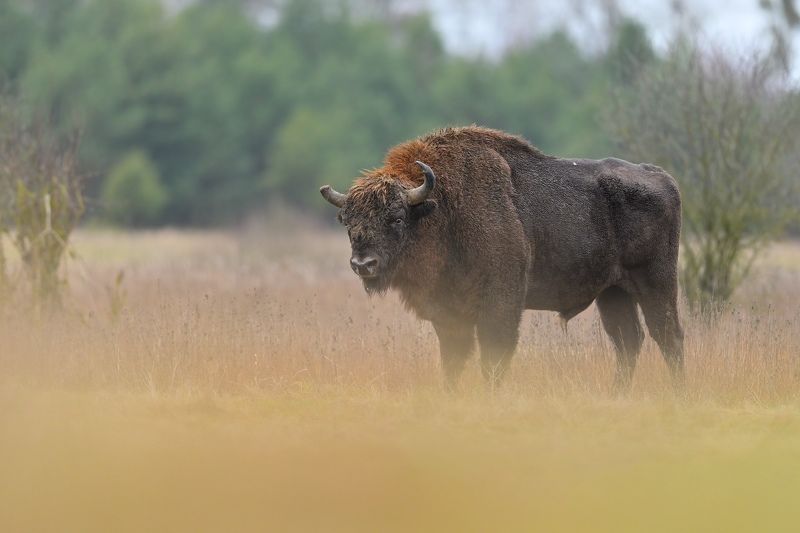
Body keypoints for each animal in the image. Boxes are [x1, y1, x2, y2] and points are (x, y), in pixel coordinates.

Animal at [320, 126, 684, 392]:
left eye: (396, 218)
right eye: (348, 222)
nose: (363, 264)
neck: (441, 207)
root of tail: (663, 177)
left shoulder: (500, 303)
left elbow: (493, 357)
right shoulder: (449, 315)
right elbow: (453, 361)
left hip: (656, 283)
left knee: (667, 335)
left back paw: (678, 394)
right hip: (612, 292)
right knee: (628, 340)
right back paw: (617, 393)